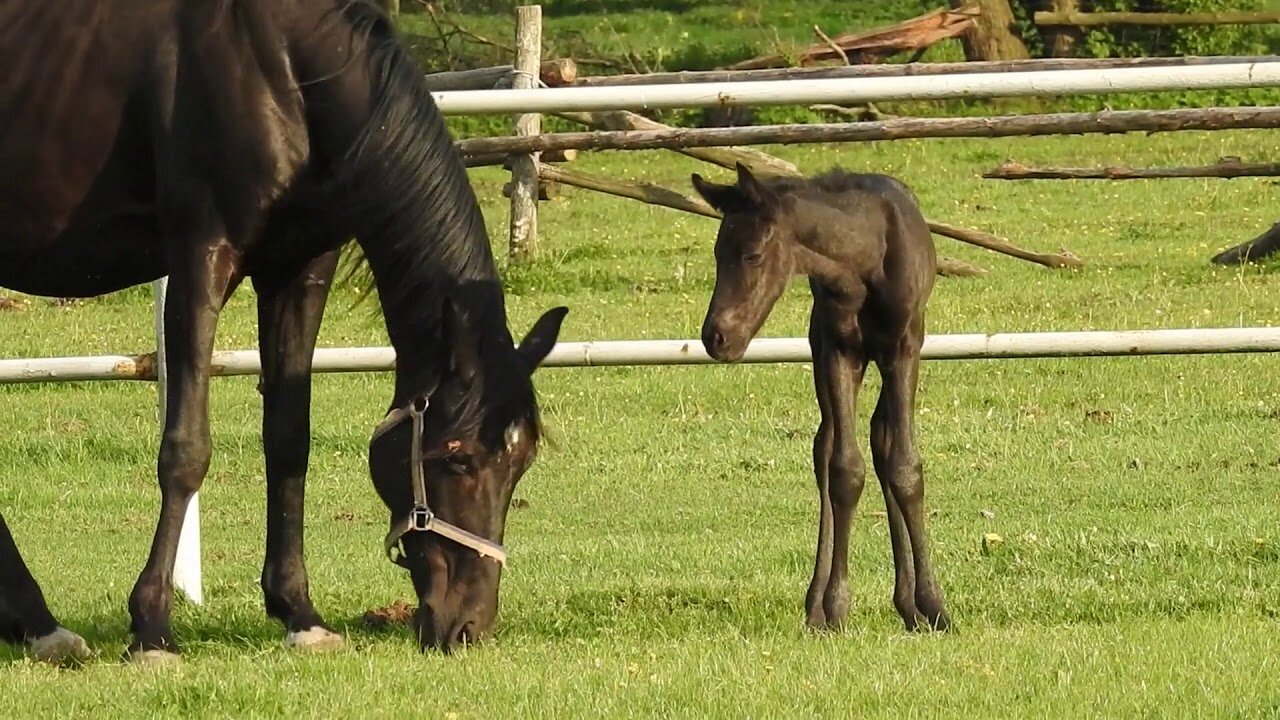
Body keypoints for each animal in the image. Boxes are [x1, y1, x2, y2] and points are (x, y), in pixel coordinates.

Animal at [0, 1, 570, 661]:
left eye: (520, 463)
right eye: (458, 460)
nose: (469, 626)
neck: (282, 67)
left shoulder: (298, 269)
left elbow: (289, 440)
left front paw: (299, 612)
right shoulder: (202, 260)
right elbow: (186, 450)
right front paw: (152, 627)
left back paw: (36, 623)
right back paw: (41, 623)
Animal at [691, 163, 952, 632]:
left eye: (753, 255)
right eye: (719, 254)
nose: (716, 337)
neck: (866, 259)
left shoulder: (904, 348)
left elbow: (905, 467)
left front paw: (934, 604)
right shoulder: (838, 350)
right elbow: (844, 470)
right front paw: (835, 605)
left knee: (882, 439)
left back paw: (908, 605)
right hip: (823, 350)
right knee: (827, 447)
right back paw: (819, 605)